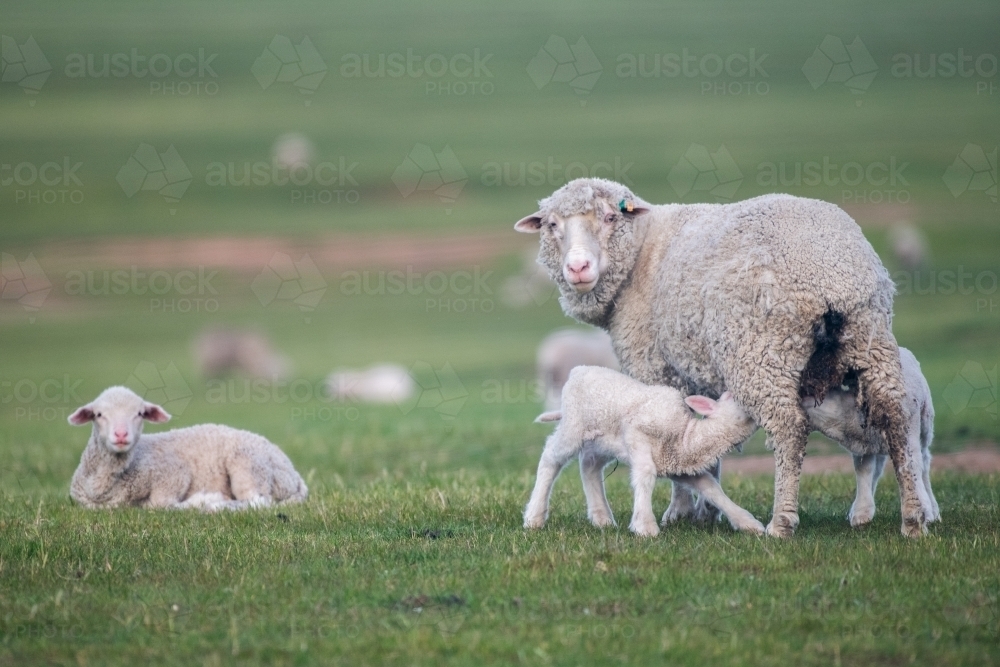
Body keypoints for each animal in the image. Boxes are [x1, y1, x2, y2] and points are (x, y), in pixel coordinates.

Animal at [68, 386, 307, 511]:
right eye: (98, 414)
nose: (120, 434)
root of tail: (295, 474)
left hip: (249, 466)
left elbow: (160, 504)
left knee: (258, 502)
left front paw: (205, 500)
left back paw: (217, 506)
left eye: (139, 414)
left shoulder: (173, 472)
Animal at [524, 366, 763, 537]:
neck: (686, 435)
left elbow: (711, 488)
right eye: (731, 397)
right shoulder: (637, 434)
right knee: (550, 457)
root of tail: (577, 370)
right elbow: (646, 474)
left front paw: (747, 522)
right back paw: (534, 516)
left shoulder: (679, 466)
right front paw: (645, 526)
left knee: (589, 465)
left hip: (602, 440)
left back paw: (602, 519)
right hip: (574, 426)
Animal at [803, 347, 939, 526]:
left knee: (924, 461)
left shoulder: (907, 436)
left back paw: (933, 509)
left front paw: (924, 511)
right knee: (878, 469)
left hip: (925, 423)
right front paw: (861, 513)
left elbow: (913, 467)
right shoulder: (863, 447)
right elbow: (864, 471)